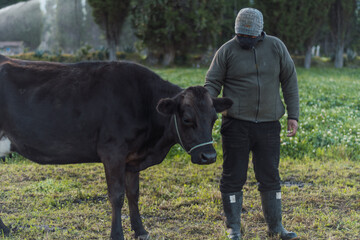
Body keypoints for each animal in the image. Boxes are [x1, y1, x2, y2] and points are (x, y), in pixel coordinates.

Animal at [0, 54, 233, 240]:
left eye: (214, 119)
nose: (209, 156)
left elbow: (133, 194)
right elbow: (117, 196)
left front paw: (140, 230)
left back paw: (6, 230)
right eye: (186, 119)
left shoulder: (132, 158)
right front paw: (117, 234)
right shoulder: (113, 153)